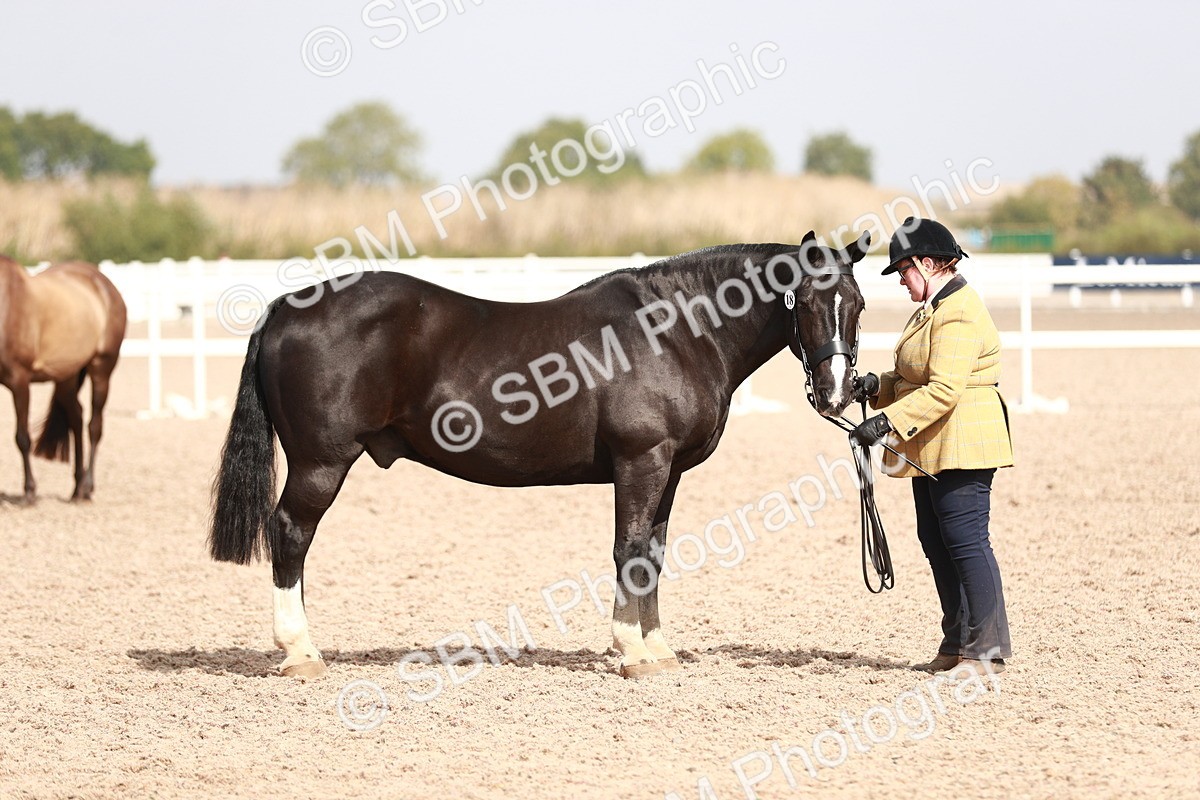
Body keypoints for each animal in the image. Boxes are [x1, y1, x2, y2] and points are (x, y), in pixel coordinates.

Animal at [0, 256, 126, 503]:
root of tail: (104, 283)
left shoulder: (19, 382)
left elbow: (22, 438)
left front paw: (29, 491)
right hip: (66, 377)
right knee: (76, 417)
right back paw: (77, 488)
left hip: (102, 369)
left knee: (94, 426)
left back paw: (87, 487)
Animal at [209, 230, 870, 679]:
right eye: (804, 301)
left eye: (858, 303)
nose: (839, 391)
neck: (677, 331)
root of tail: (287, 307)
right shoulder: (642, 460)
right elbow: (628, 550)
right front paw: (631, 653)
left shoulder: (671, 471)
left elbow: (653, 555)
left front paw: (657, 650)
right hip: (321, 463)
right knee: (290, 533)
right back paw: (300, 652)